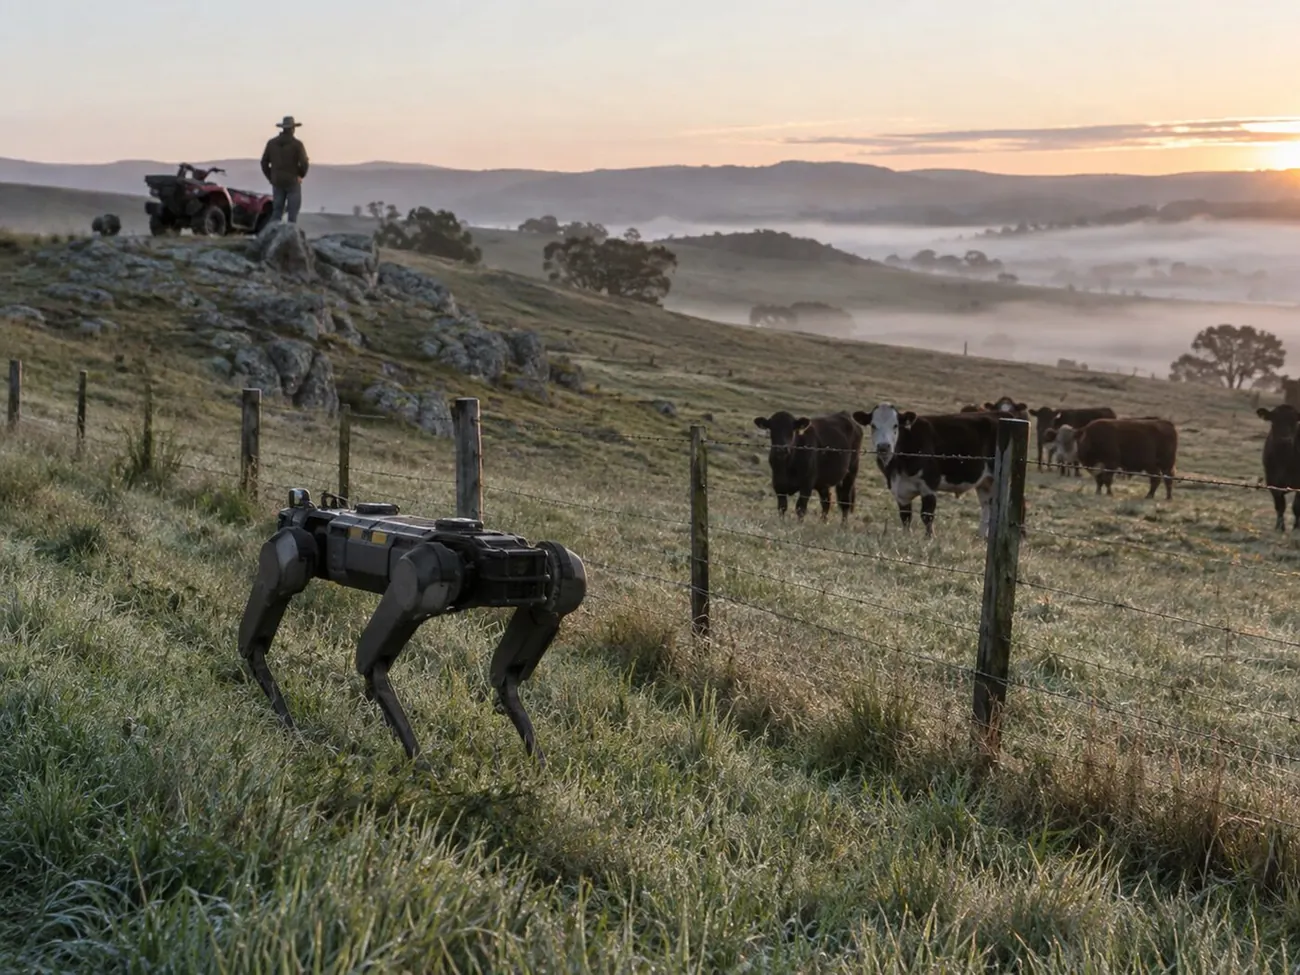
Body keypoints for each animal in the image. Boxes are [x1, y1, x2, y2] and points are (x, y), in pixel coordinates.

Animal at [853, 404, 1001, 538]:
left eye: (895, 425)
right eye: (873, 425)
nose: (884, 447)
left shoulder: (929, 485)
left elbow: (927, 515)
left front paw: (929, 538)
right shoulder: (900, 491)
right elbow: (905, 517)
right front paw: (906, 537)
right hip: (985, 483)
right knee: (987, 507)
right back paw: (982, 536)